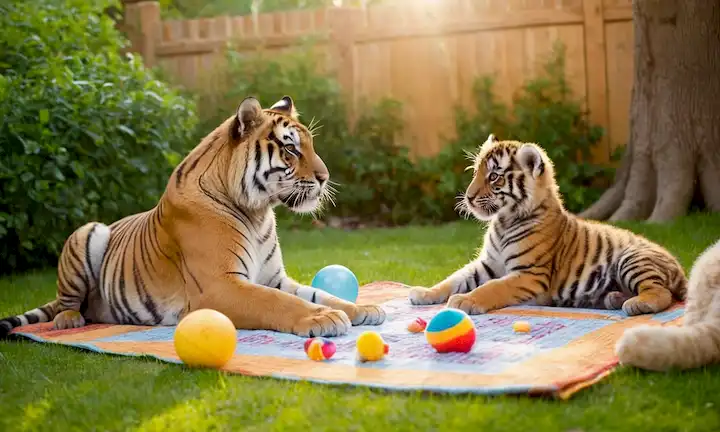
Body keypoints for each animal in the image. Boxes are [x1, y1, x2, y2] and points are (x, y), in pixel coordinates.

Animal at [0, 96, 385, 339]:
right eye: (291, 148)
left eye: (309, 145)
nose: (325, 177)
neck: (258, 212)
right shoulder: (220, 286)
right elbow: (279, 303)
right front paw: (323, 318)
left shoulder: (275, 278)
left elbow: (321, 293)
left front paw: (363, 308)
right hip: (88, 232)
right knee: (65, 302)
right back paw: (69, 320)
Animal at [408, 134, 687, 316]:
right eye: (475, 172)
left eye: (494, 176)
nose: (468, 197)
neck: (503, 221)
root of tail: (679, 266)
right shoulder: (487, 264)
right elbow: (452, 278)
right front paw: (423, 293)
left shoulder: (529, 274)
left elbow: (493, 287)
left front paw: (464, 301)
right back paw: (614, 298)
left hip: (633, 259)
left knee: (662, 293)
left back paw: (637, 304)